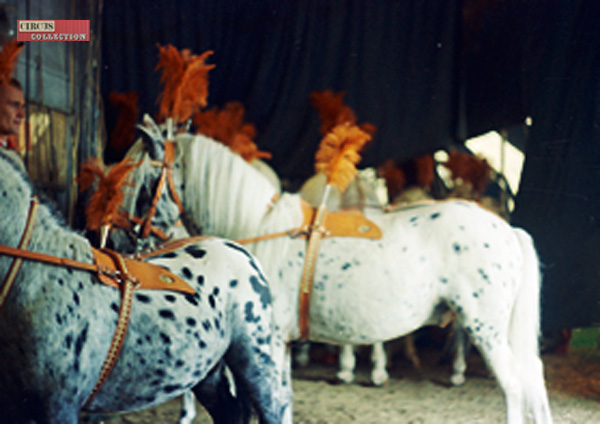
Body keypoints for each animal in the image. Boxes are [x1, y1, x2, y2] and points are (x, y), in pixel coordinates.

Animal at [0, 150, 286, 424]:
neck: (36, 277)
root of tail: (241, 251)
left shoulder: (60, 406)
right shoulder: (15, 409)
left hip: (258, 363)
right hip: (206, 370)